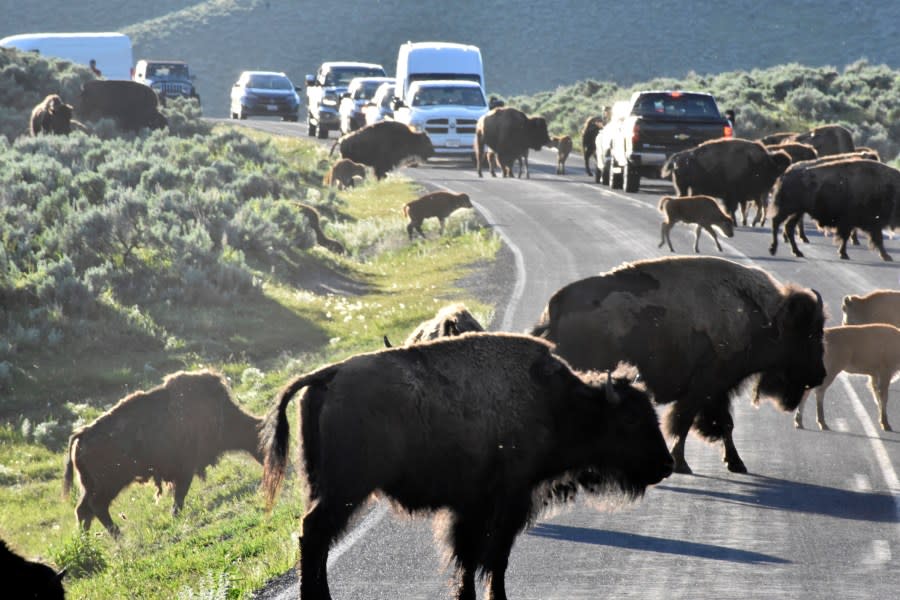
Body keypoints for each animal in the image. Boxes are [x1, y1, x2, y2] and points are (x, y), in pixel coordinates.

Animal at [63, 370, 264, 536]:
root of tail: (82, 435)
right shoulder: (185, 470)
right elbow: (180, 494)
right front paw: (175, 515)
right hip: (109, 485)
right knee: (96, 507)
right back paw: (117, 536)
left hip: (91, 487)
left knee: (83, 510)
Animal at [258, 332, 668, 600]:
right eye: (632, 419)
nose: (665, 464)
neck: (557, 402)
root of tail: (330, 374)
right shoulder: (507, 502)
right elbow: (491, 558)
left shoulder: (471, 507)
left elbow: (469, 558)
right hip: (347, 489)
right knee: (314, 535)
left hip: (322, 486)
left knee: (316, 539)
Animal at [532, 255, 828, 476]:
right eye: (811, 334)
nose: (819, 374)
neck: (767, 319)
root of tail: (554, 309)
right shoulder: (706, 388)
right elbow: (686, 422)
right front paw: (683, 464)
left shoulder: (716, 392)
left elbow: (723, 424)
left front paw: (735, 464)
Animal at [656, 137, 792, 226]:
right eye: (765, 168)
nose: (772, 182)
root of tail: (679, 157)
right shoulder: (735, 195)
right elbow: (733, 208)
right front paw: (735, 222)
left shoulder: (740, 196)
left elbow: (736, 208)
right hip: (684, 187)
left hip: (685, 187)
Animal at [768, 157, 900, 260]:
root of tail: (785, 174)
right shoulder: (859, 223)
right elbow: (870, 239)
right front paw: (844, 254)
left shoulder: (866, 224)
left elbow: (874, 239)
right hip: (788, 209)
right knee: (776, 222)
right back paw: (773, 249)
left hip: (797, 212)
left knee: (788, 227)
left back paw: (797, 252)